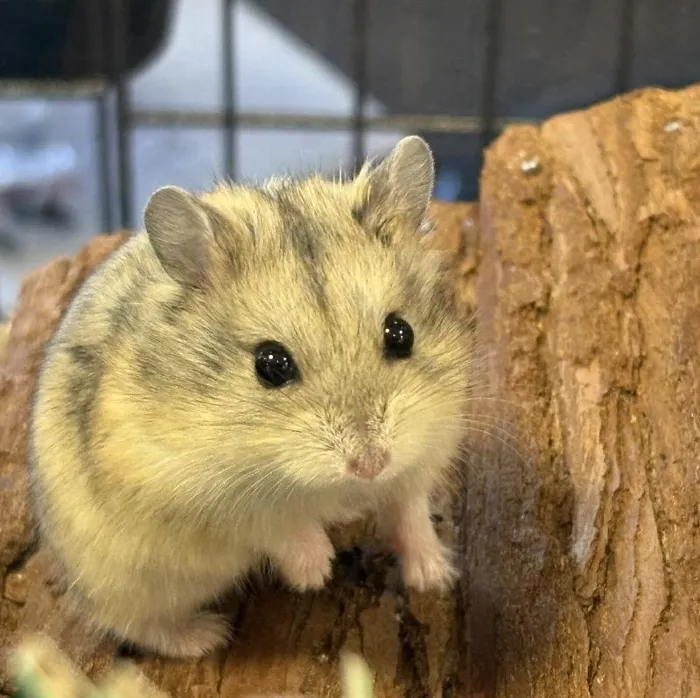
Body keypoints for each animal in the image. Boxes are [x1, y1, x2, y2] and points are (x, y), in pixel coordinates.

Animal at [28, 136, 473, 659]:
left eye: (401, 333)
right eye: (270, 364)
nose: (370, 465)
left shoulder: (428, 445)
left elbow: (410, 509)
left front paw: (436, 577)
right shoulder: (201, 498)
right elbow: (276, 522)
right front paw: (315, 572)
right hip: (120, 579)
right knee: (131, 623)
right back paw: (205, 635)